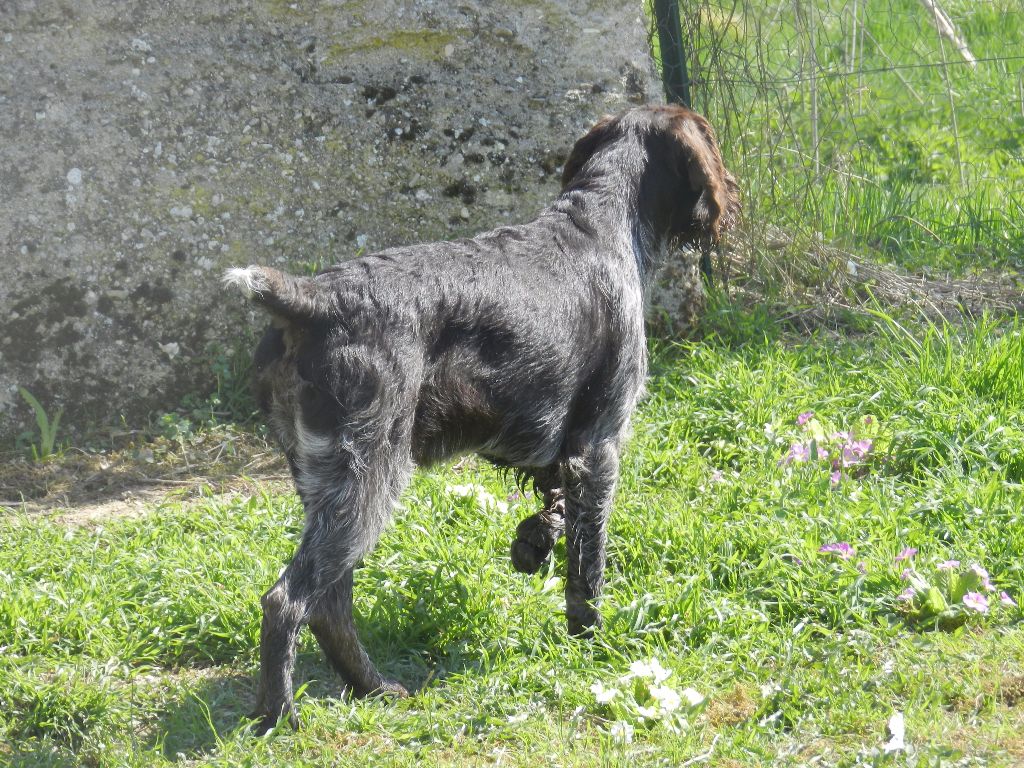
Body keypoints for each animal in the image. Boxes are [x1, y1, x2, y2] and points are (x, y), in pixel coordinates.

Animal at [224, 102, 741, 733]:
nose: (730, 193)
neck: (602, 218)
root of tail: (313, 301)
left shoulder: (554, 448)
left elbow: (556, 511)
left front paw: (532, 545)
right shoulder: (598, 447)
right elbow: (587, 563)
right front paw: (592, 643)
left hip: (324, 483)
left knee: (329, 604)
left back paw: (372, 688)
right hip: (368, 476)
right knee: (288, 601)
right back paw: (280, 716)